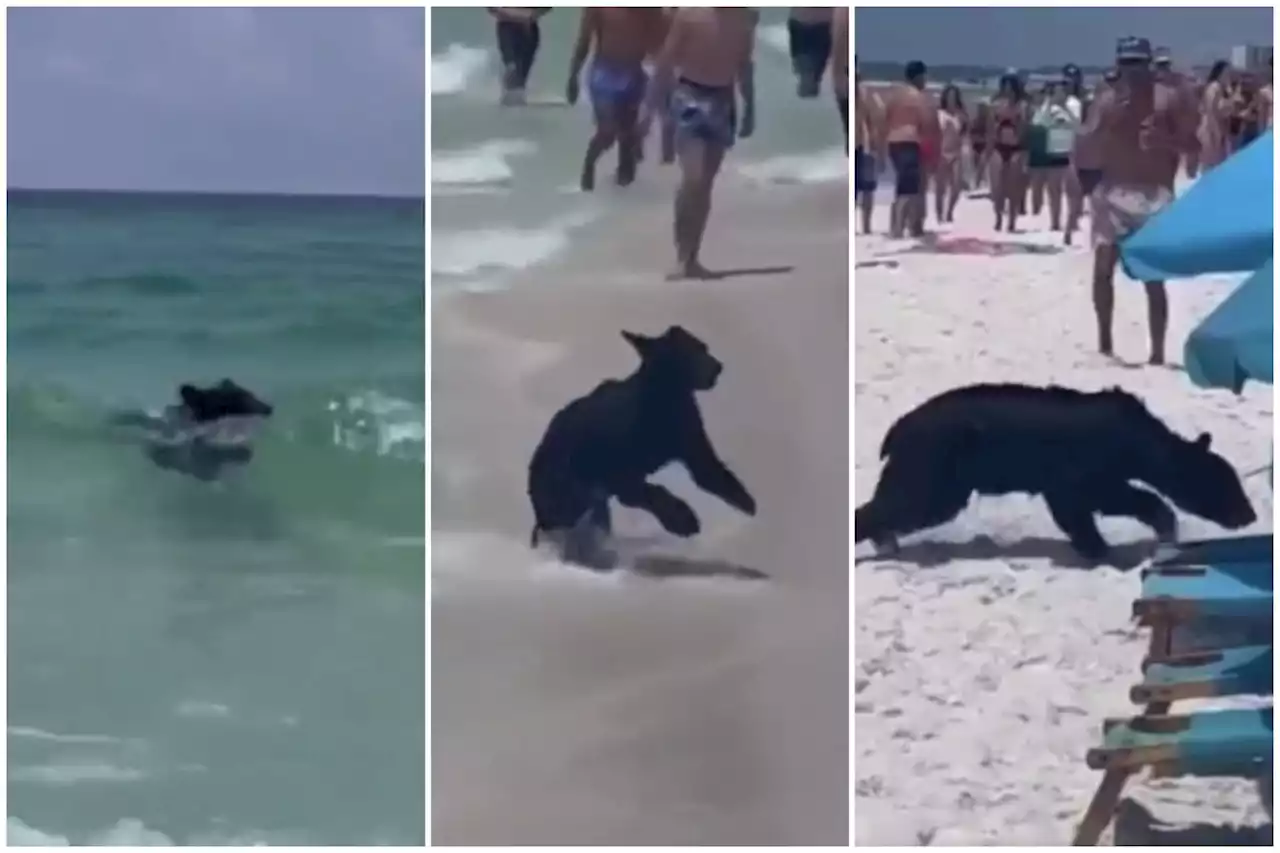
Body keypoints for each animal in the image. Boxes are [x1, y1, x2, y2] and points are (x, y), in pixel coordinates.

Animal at [524, 322, 752, 568]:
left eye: (702, 347)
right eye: (689, 353)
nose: (718, 366)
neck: (663, 397)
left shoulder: (695, 450)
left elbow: (714, 475)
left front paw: (745, 501)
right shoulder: (622, 477)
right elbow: (654, 493)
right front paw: (683, 520)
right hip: (571, 496)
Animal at [855, 381, 1254, 560]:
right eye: (1223, 483)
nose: (1248, 515)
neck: (1138, 441)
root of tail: (900, 429)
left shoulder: (1088, 483)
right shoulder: (1079, 480)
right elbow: (1102, 506)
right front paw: (1102, 550)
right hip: (932, 478)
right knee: (884, 509)